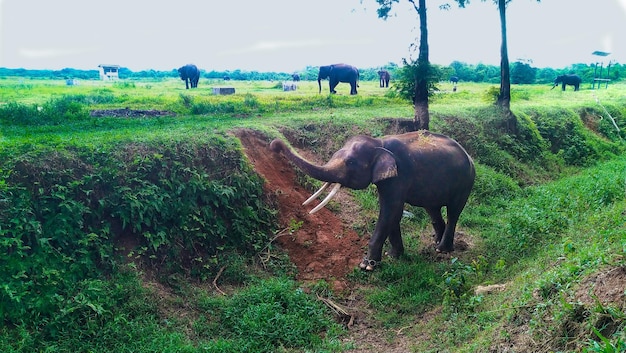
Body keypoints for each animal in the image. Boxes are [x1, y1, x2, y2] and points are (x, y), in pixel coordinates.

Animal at [268, 129, 472, 270]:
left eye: (351, 162)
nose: (274, 145)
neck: (379, 143)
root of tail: (469, 156)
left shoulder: (400, 175)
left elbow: (391, 210)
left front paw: (367, 265)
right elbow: (392, 213)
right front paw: (393, 256)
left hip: (465, 182)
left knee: (453, 211)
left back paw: (443, 250)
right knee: (433, 210)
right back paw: (435, 244)